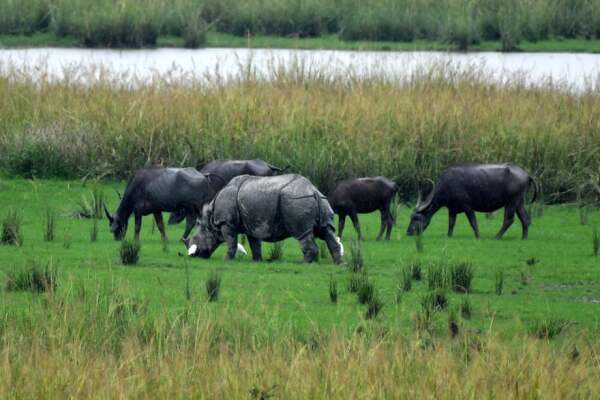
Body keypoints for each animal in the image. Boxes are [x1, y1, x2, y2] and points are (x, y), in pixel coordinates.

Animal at [183, 174, 342, 262]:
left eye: (195, 240)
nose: (194, 256)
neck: (210, 220)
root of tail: (313, 191)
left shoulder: (226, 223)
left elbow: (231, 242)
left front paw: (226, 260)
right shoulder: (252, 224)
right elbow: (255, 244)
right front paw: (257, 261)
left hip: (296, 200)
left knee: (303, 233)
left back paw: (305, 264)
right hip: (320, 200)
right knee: (326, 231)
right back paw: (340, 264)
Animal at [406, 163, 536, 239]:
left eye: (417, 218)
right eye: (411, 217)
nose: (408, 232)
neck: (447, 185)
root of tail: (526, 174)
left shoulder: (468, 207)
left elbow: (473, 222)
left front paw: (478, 236)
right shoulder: (452, 209)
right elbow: (451, 223)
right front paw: (449, 236)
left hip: (512, 201)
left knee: (509, 219)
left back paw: (497, 237)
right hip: (519, 201)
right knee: (525, 219)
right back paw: (524, 238)